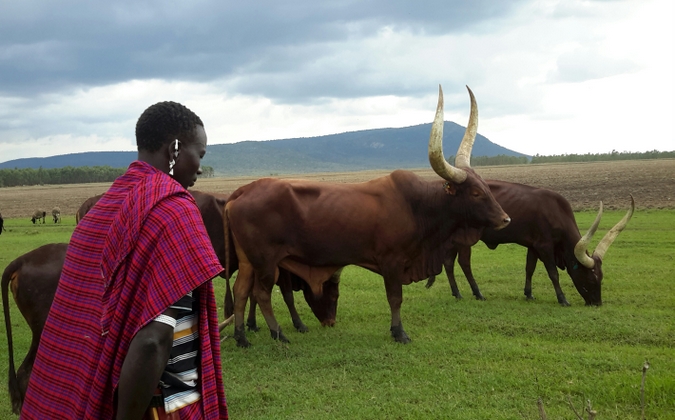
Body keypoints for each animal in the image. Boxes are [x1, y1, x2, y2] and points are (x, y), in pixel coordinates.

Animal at [223, 86, 512, 348]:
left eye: (486, 186)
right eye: (475, 192)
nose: (506, 219)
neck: (418, 206)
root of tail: (244, 190)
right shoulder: (392, 262)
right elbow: (395, 298)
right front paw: (399, 333)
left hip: (248, 260)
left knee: (240, 291)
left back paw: (241, 338)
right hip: (266, 261)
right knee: (261, 293)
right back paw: (278, 334)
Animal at [426, 181, 636, 306]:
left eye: (601, 277)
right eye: (591, 279)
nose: (597, 303)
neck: (556, 211)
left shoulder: (533, 246)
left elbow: (530, 268)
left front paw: (528, 293)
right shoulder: (545, 246)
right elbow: (553, 273)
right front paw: (562, 299)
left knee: (448, 262)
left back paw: (456, 292)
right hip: (464, 241)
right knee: (464, 263)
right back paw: (476, 293)